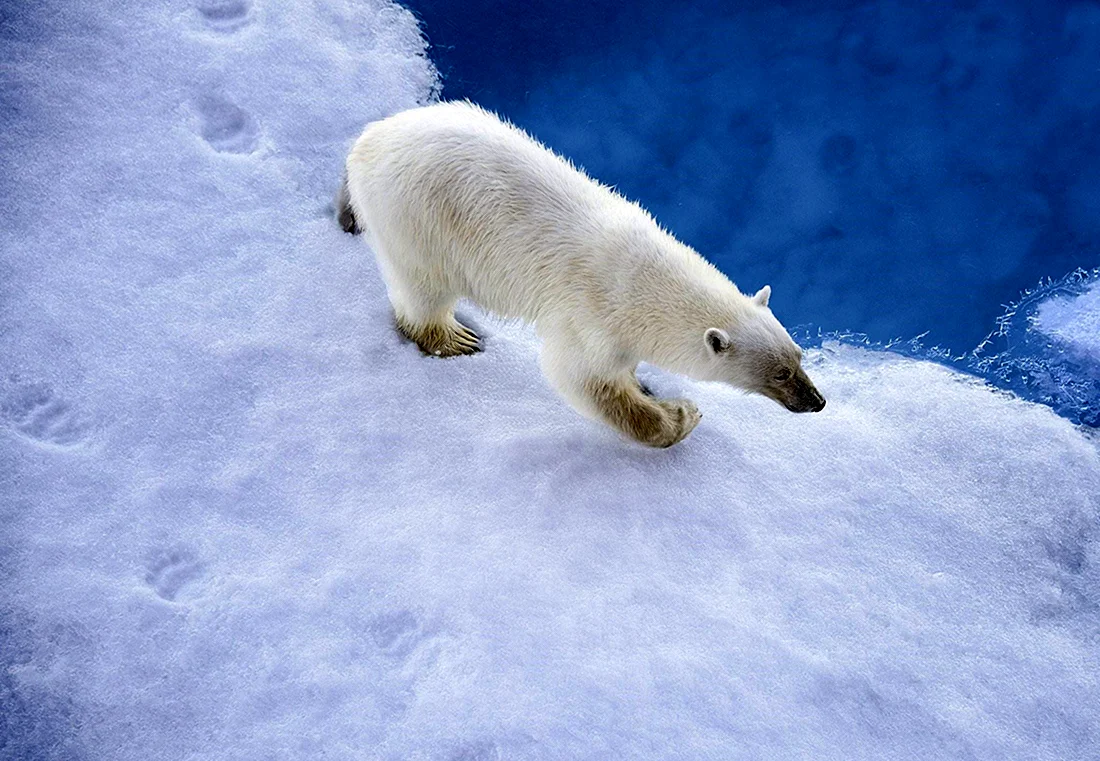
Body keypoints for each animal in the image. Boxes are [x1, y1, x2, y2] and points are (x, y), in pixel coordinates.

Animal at [340, 101, 825, 448]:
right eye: (780, 374)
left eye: (799, 356)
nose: (817, 402)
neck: (644, 281)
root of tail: (369, 138)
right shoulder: (593, 317)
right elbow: (582, 378)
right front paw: (680, 415)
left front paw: (642, 383)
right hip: (416, 222)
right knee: (423, 290)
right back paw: (454, 338)